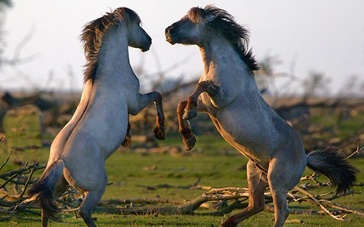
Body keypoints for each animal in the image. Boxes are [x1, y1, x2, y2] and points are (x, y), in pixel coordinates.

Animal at [28, 7, 165, 227]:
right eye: (138, 24)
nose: (149, 41)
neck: (108, 74)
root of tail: (61, 160)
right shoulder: (135, 102)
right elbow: (157, 95)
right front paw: (160, 131)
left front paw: (128, 139)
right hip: (97, 186)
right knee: (83, 211)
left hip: (61, 186)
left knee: (45, 209)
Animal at [166, 5, 358, 227]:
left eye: (192, 19)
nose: (168, 31)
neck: (224, 68)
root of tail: (305, 157)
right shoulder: (208, 106)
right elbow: (181, 104)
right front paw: (188, 140)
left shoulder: (220, 99)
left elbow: (199, 87)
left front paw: (190, 118)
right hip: (255, 174)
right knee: (256, 205)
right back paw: (228, 222)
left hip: (276, 180)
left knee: (281, 212)